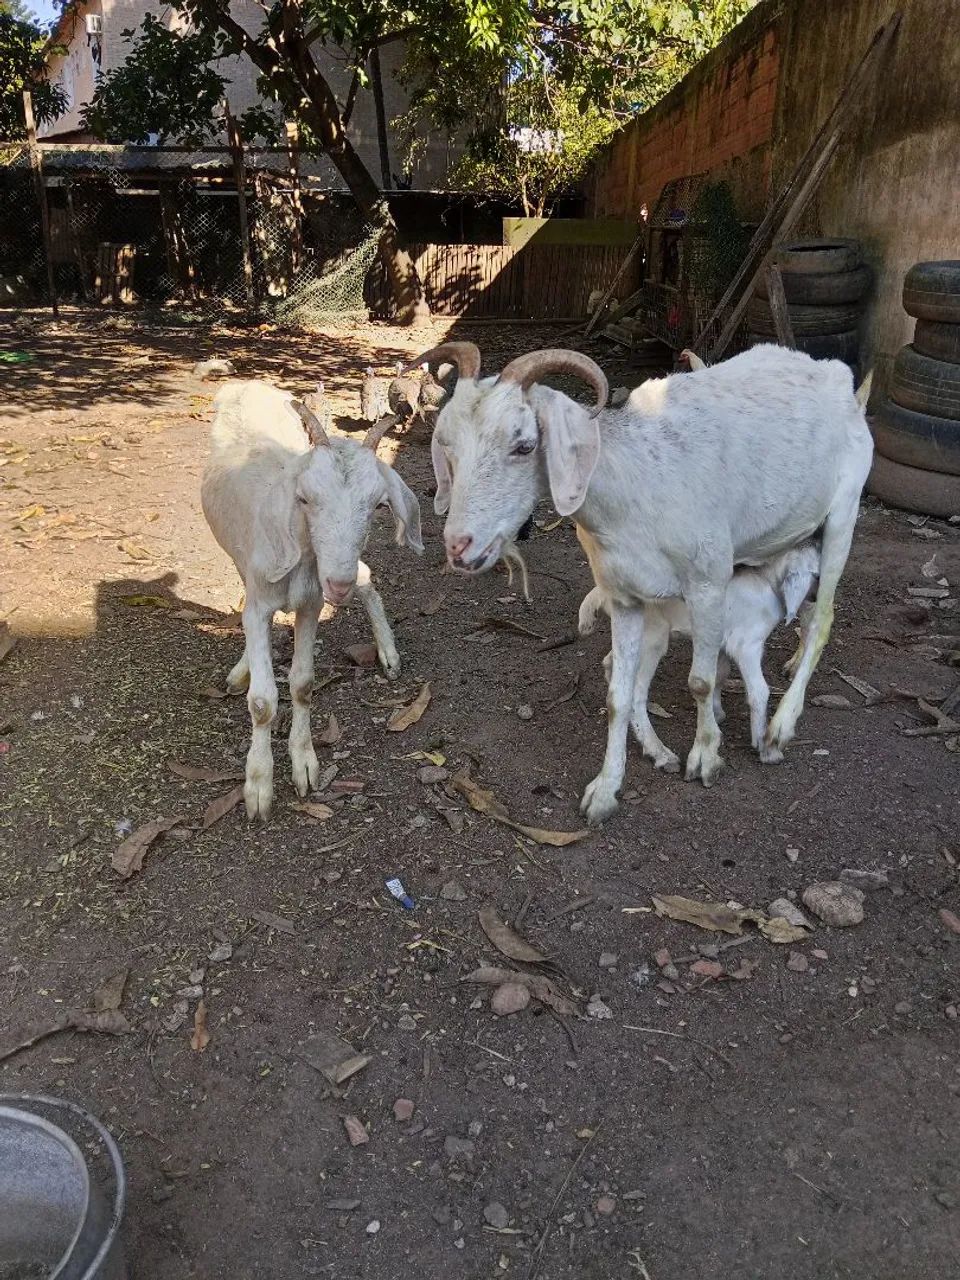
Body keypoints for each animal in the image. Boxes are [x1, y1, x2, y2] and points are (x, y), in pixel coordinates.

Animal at [201, 380, 423, 819]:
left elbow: (302, 684)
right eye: (303, 498)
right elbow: (262, 701)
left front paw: (303, 763)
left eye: (379, 504)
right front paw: (258, 785)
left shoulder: (312, 605)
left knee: (366, 577)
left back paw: (387, 653)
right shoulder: (261, 601)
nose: (338, 583)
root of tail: (246, 384)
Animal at [578, 541, 821, 771]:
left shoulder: (722, 644)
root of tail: (602, 593)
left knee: (610, 663)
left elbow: (719, 674)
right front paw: (764, 745)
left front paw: (716, 711)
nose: (817, 600)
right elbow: (759, 690)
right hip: (652, 637)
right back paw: (658, 751)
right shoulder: (746, 645)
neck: (766, 583)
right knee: (634, 690)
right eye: (817, 574)